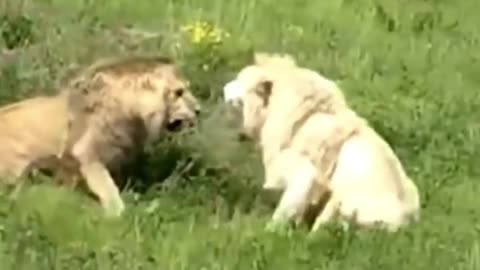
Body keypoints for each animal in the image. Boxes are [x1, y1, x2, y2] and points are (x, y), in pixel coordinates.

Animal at [222, 52, 420, 232]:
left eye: (239, 79)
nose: (223, 88)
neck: (308, 115)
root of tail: (406, 224)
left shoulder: (305, 174)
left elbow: (284, 210)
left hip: (343, 201)